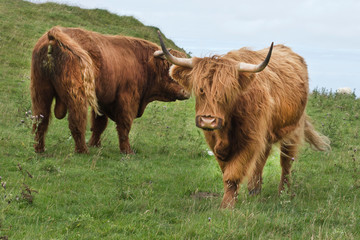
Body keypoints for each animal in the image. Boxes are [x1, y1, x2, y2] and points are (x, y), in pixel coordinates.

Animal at [30, 26, 188, 154]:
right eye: (170, 70)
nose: (186, 92)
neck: (142, 64)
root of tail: (53, 34)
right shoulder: (127, 99)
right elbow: (124, 126)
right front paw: (127, 151)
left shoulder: (102, 100)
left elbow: (99, 124)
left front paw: (95, 144)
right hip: (76, 94)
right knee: (76, 121)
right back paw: (83, 151)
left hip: (40, 90)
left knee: (41, 119)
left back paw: (40, 150)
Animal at [158, 31, 330, 208]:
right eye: (200, 89)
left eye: (227, 93)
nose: (208, 121)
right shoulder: (214, 141)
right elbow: (226, 170)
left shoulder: (249, 140)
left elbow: (233, 173)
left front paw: (227, 205)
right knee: (262, 159)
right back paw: (255, 190)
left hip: (293, 129)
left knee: (286, 162)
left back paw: (284, 192)